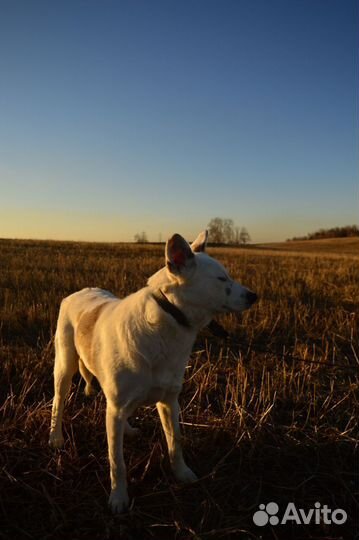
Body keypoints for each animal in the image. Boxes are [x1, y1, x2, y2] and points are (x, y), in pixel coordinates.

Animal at [49, 230, 258, 512]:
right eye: (221, 279)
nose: (253, 296)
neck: (169, 317)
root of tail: (78, 293)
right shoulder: (121, 407)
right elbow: (117, 462)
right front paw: (118, 498)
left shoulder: (169, 401)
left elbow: (175, 442)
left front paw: (182, 474)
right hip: (64, 367)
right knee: (59, 402)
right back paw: (55, 437)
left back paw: (126, 429)